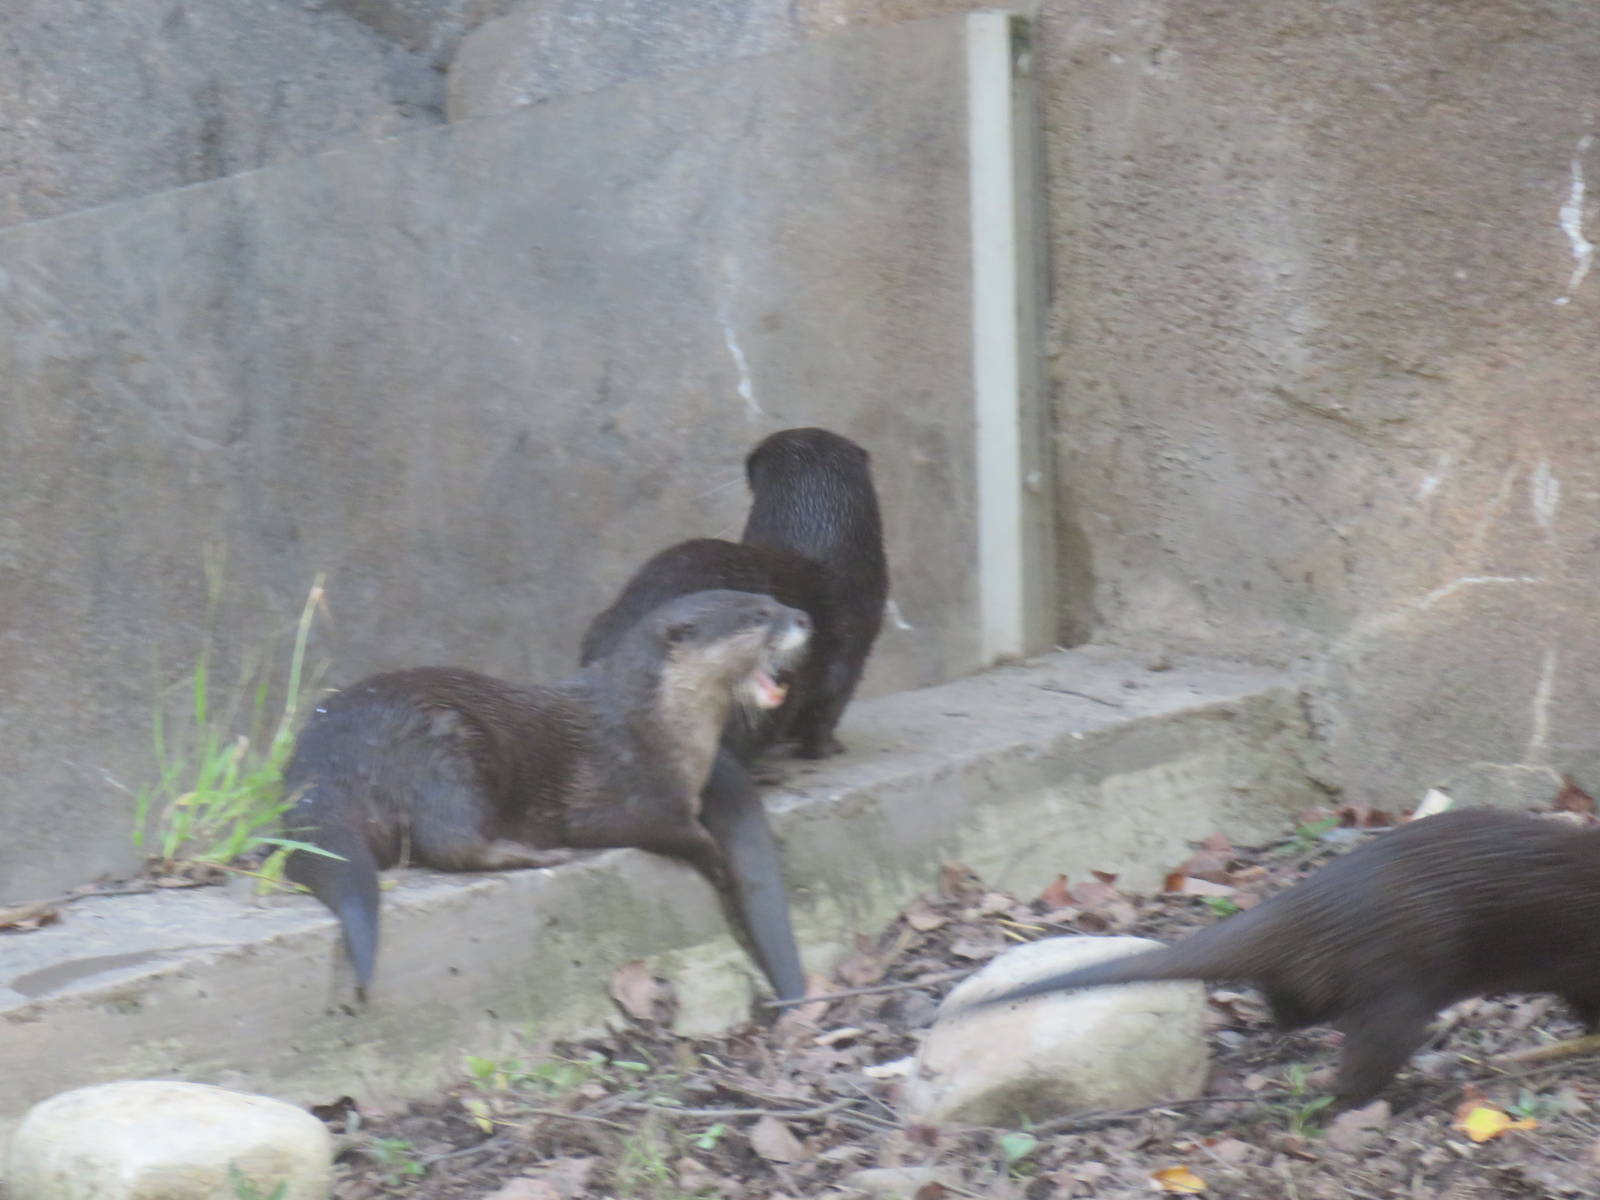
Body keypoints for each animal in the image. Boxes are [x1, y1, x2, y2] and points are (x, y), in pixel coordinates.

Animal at [281, 590, 810, 998]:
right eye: (758, 615)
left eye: (774, 598)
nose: (803, 616)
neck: (661, 723)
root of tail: (324, 763)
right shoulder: (628, 793)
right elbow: (677, 831)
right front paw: (717, 860)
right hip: (445, 747)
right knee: (449, 840)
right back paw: (533, 854)